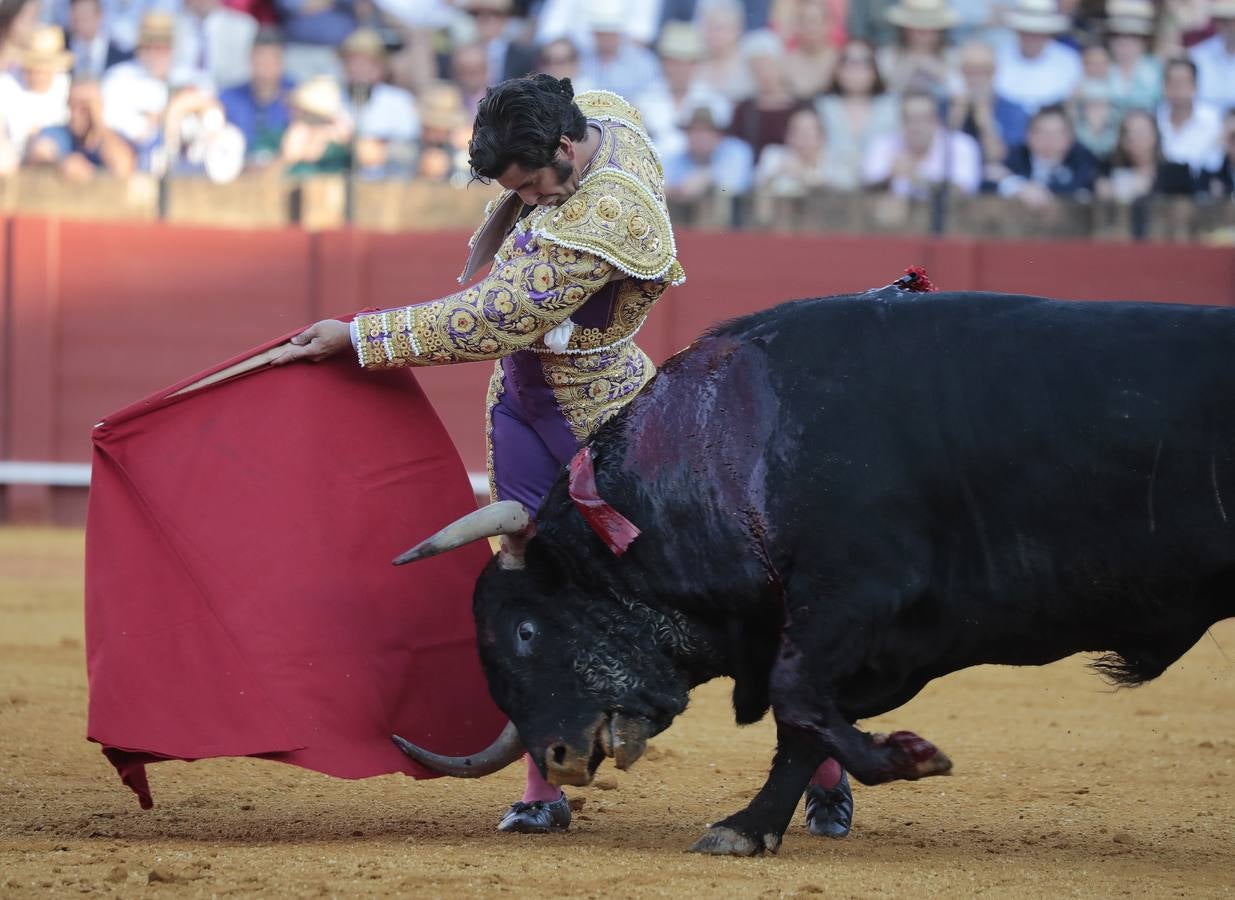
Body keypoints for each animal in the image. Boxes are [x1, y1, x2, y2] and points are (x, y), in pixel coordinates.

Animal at [390, 287, 1230, 854]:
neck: (730, 446)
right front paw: (749, 827)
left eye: (526, 631)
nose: (560, 762)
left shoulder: (853, 596)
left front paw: (907, 757)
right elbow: (800, 724)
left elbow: (795, 700)